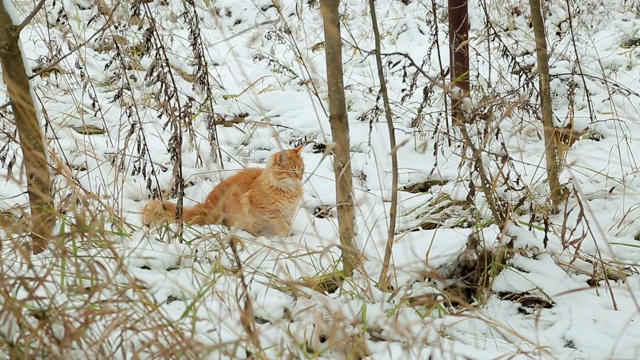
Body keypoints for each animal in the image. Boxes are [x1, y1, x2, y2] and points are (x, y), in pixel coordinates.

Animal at [142, 145, 304, 238]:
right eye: (293, 171)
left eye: (302, 169)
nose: (301, 177)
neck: (287, 191)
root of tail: (207, 205)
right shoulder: (265, 208)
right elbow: (280, 223)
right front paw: (286, 237)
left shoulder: (289, 212)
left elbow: (285, 224)